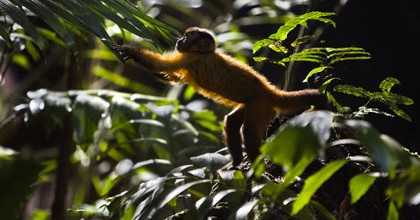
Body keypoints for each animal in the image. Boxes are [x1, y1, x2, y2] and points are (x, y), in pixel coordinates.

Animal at [112, 26, 328, 168]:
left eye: (186, 38)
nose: (179, 41)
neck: (203, 52)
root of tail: (271, 92)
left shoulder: (192, 58)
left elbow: (161, 65)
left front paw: (128, 50)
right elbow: (171, 78)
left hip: (261, 106)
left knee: (249, 131)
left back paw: (255, 167)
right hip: (254, 106)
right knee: (231, 122)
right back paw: (237, 162)